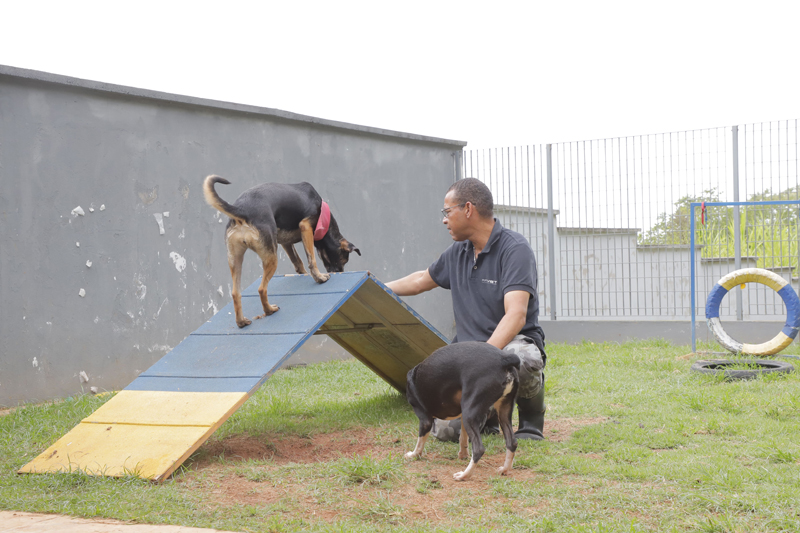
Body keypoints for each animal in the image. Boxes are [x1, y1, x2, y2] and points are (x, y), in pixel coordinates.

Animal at [203, 175, 360, 328]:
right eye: (343, 260)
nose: (340, 272)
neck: (324, 218)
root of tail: (242, 210)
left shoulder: (285, 242)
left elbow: (298, 262)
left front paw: (303, 274)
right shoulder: (306, 227)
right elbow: (311, 259)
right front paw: (319, 277)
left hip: (235, 260)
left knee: (236, 293)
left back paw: (241, 322)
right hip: (271, 258)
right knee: (261, 289)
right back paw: (269, 310)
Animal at [404, 340, 520, 482]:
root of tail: (504, 359)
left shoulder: (425, 419)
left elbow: (420, 442)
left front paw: (414, 455)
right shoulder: (463, 416)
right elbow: (463, 438)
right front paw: (463, 454)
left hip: (470, 412)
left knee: (479, 449)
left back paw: (464, 475)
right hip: (502, 410)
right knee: (512, 442)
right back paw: (505, 469)